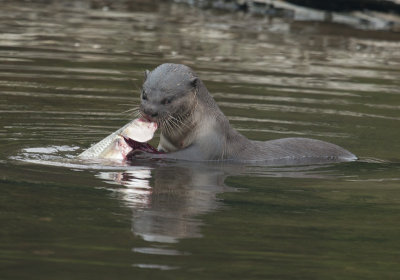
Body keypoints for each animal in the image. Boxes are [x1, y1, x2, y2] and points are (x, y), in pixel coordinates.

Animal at [136, 63, 358, 164]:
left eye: (168, 100)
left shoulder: (211, 142)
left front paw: (142, 153)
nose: (150, 111)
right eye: (144, 94)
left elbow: (188, 157)